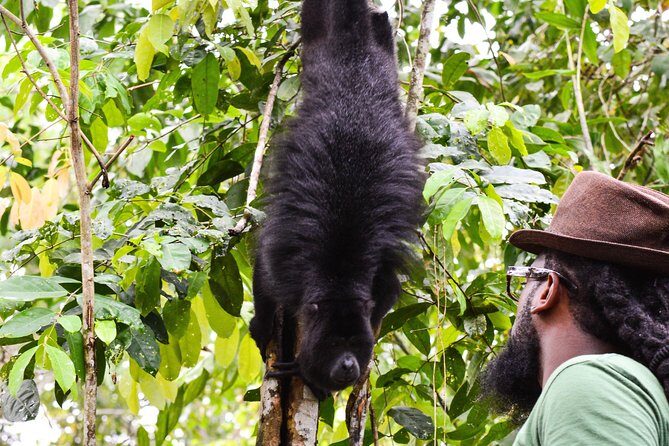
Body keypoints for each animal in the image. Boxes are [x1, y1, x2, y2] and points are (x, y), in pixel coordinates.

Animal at [249, 0, 424, 400]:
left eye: (355, 344)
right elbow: (264, 270)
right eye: (333, 344)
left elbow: (386, 298)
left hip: (379, 49)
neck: (339, 280)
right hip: (318, 34)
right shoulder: (286, 270)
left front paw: (308, 375)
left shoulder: (377, 283)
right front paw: (263, 332)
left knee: (381, 34)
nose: (348, 365)